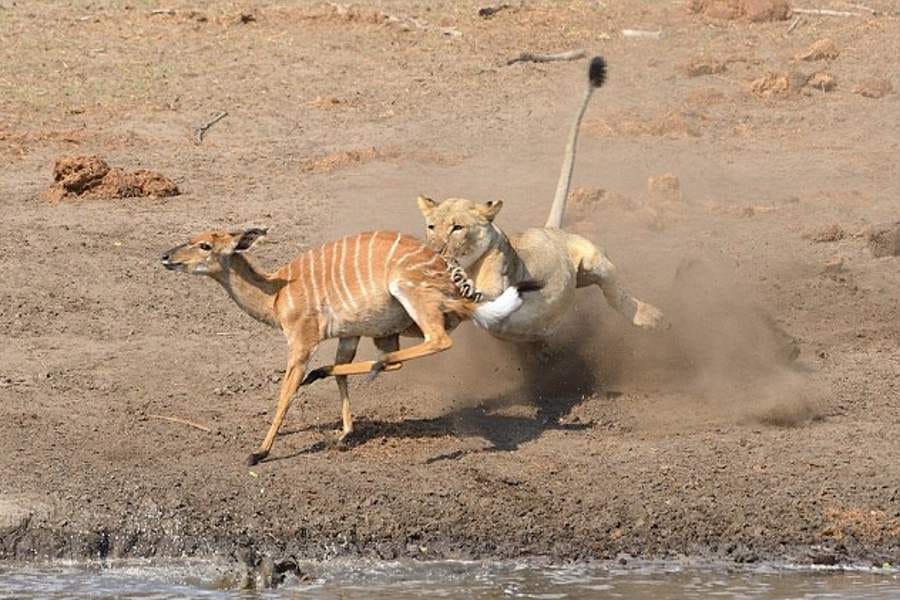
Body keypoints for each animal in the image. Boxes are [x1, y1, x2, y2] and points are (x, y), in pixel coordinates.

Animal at [416, 56, 665, 345]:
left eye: (457, 227)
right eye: (431, 227)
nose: (435, 252)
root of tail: (551, 229)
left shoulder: (506, 283)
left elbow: (486, 295)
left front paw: (462, 283)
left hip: (595, 259)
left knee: (616, 293)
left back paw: (649, 317)